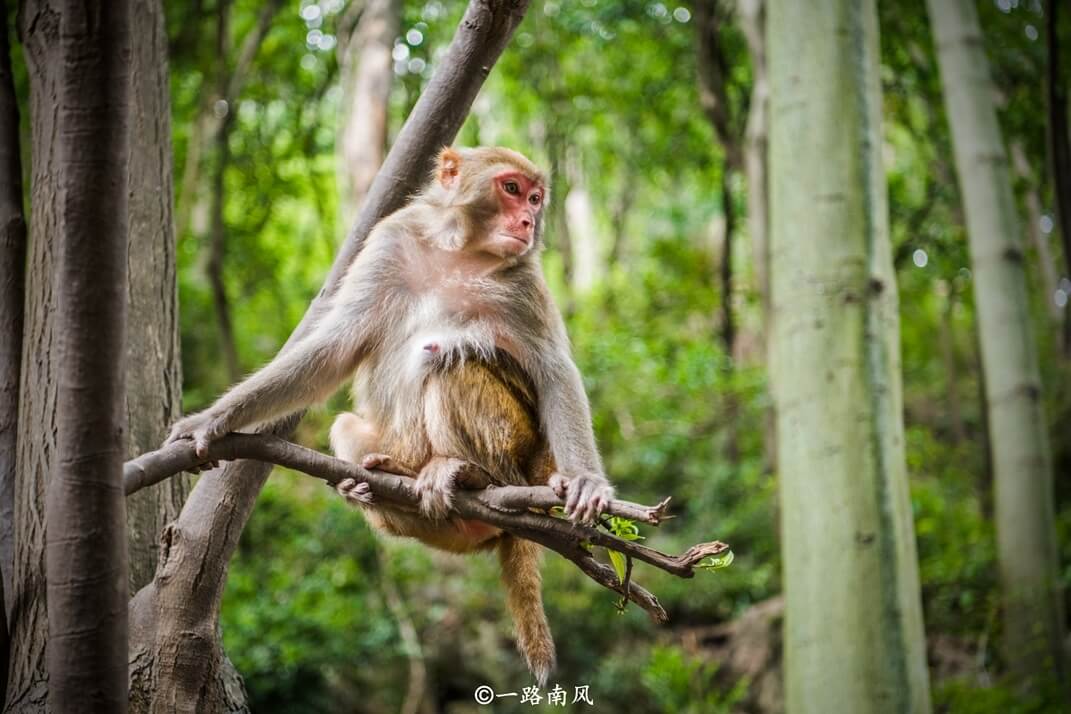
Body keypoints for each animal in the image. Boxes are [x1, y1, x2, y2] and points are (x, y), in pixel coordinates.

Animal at [168, 143, 621, 680]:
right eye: (511, 189)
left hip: (525, 455)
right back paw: (382, 488)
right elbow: (333, 349)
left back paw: (470, 476)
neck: (459, 251)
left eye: (535, 198)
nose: (530, 220)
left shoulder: (523, 280)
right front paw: (214, 419)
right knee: (351, 424)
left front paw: (587, 481)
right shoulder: (389, 240)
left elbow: (552, 370)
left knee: (452, 363)